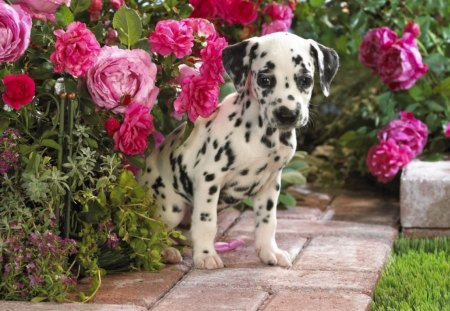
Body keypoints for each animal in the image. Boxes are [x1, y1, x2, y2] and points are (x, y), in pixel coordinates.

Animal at [139, 32, 340, 270]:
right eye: (265, 80)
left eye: (306, 80)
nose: (287, 114)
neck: (262, 136)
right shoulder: (209, 179)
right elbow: (206, 222)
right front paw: (205, 255)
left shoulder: (271, 184)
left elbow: (267, 222)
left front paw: (269, 252)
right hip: (171, 208)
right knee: (153, 232)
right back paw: (165, 252)